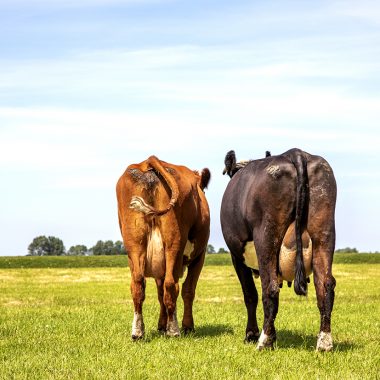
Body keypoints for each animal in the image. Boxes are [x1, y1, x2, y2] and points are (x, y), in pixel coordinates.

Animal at [116, 156, 211, 340]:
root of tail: (149, 161)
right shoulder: (200, 256)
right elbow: (188, 290)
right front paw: (187, 326)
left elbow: (160, 294)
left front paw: (161, 325)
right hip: (173, 243)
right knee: (171, 284)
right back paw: (173, 330)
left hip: (134, 243)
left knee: (137, 284)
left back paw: (138, 332)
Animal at [221, 148, 336, 350]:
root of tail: (295, 153)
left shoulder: (236, 255)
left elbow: (250, 294)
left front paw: (251, 334)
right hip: (324, 230)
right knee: (325, 286)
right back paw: (324, 342)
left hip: (266, 235)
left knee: (271, 288)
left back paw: (264, 340)